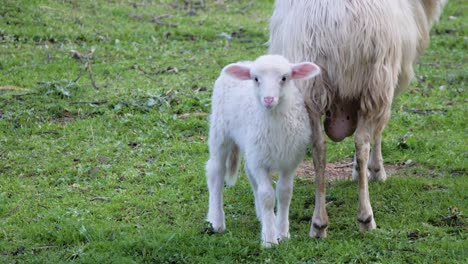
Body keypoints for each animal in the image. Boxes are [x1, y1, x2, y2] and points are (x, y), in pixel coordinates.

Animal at [206, 54, 320, 246]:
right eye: (256, 79)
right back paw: (217, 221)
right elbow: (267, 196)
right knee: (215, 172)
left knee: (250, 174)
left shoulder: (289, 161)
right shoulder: (260, 163)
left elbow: (284, 193)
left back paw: (265, 217)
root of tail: (244, 62)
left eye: (284, 78)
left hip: (252, 148)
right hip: (220, 132)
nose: (268, 99)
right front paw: (270, 239)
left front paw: (282, 232)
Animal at [266, 0, 446, 238]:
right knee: (362, 143)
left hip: (309, 89)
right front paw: (375, 170)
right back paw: (366, 217)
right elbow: (378, 132)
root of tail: (338, 24)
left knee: (319, 147)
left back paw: (319, 224)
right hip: (376, 81)